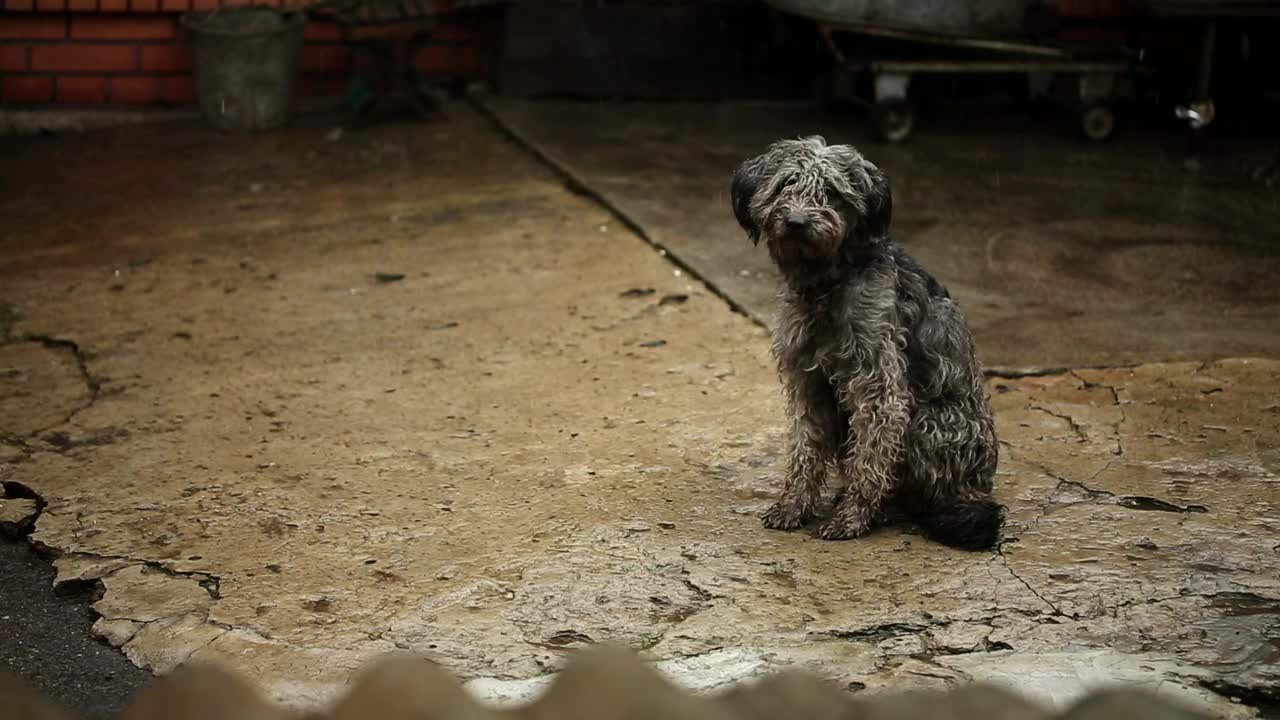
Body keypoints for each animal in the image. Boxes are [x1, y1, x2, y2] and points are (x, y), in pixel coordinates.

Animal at [732, 135, 998, 548]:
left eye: (831, 192)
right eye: (785, 184)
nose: (796, 222)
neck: (826, 283)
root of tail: (977, 489)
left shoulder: (879, 386)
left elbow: (872, 458)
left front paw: (852, 518)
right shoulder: (807, 381)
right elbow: (805, 448)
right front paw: (794, 505)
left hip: (925, 424)